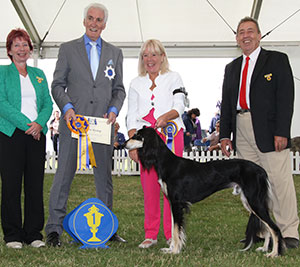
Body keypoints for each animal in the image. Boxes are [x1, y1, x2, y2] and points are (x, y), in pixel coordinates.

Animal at [125, 129, 284, 258]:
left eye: (137, 136)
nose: (124, 144)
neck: (167, 163)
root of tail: (261, 170)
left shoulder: (177, 203)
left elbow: (176, 230)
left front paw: (175, 251)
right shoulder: (172, 203)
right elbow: (174, 229)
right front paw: (170, 249)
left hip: (254, 201)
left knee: (274, 227)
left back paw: (274, 253)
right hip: (250, 202)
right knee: (267, 227)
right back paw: (265, 249)